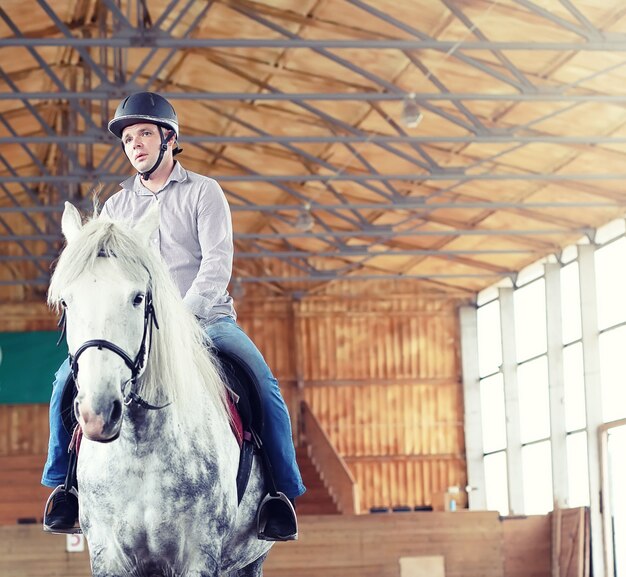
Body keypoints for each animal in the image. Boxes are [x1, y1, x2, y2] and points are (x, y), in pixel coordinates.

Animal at [48, 200, 272, 572]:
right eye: (67, 301)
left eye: (138, 298)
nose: (98, 413)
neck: (140, 448)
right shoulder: (109, 555)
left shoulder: (199, 554)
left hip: (250, 560)